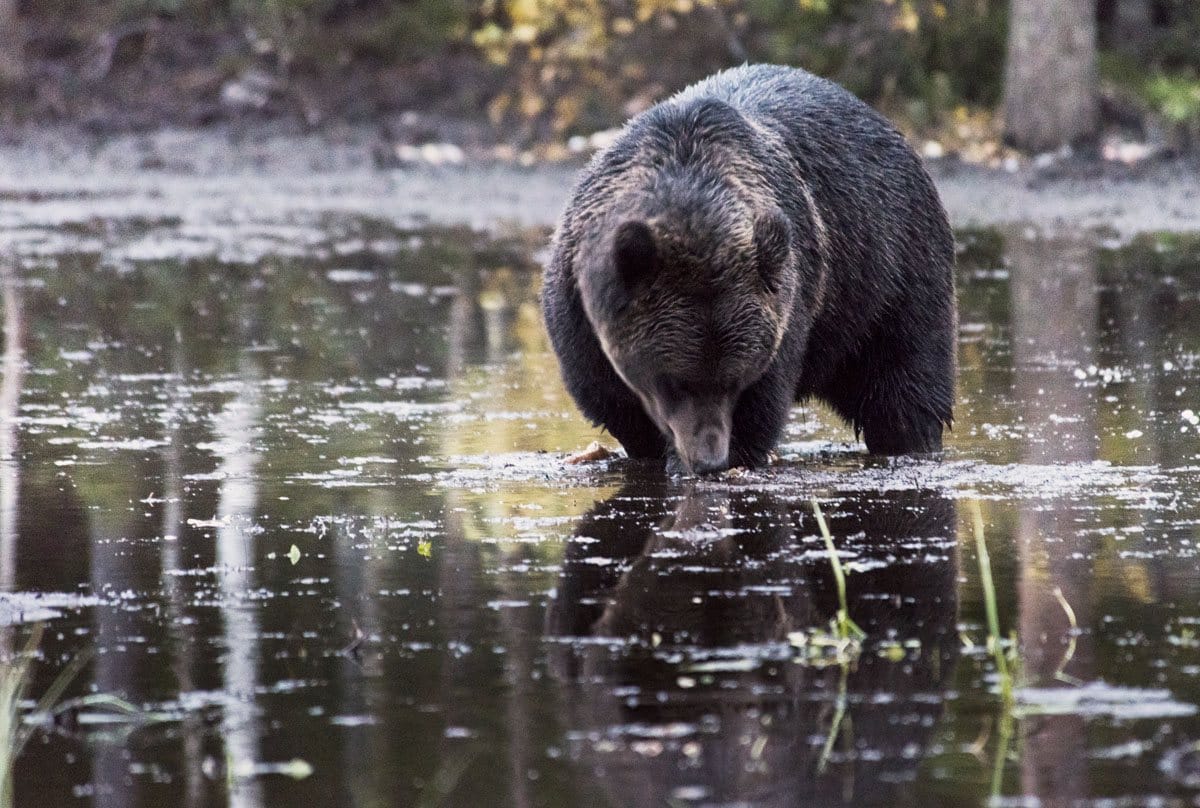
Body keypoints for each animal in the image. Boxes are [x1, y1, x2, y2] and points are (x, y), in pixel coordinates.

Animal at [544, 67, 955, 473]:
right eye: (673, 381)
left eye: (734, 381)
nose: (710, 459)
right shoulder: (578, 312)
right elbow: (609, 396)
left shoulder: (787, 296)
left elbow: (765, 395)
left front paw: (727, 453)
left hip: (888, 269)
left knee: (903, 378)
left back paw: (909, 440)